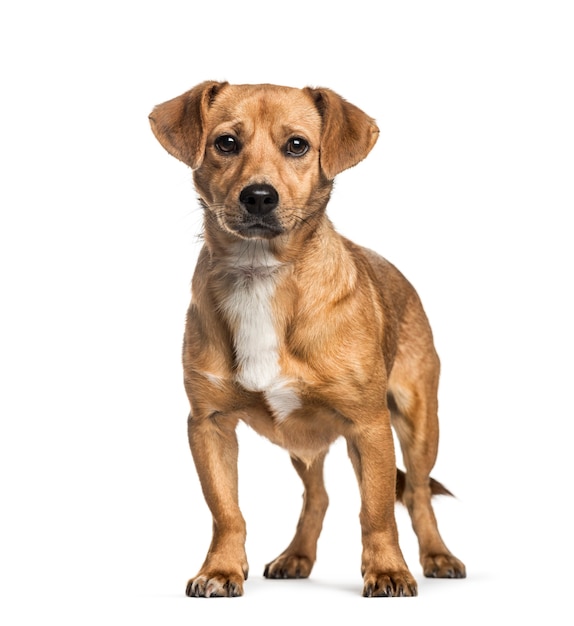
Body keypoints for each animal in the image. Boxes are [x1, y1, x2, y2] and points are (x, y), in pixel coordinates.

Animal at [150, 81, 468, 596]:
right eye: (225, 143)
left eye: (297, 145)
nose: (259, 196)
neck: (261, 273)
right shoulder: (209, 425)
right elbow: (226, 512)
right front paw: (221, 569)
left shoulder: (370, 427)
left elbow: (378, 511)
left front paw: (388, 570)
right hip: (304, 441)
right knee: (316, 495)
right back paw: (296, 556)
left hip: (416, 425)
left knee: (417, 492)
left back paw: (437, 556)